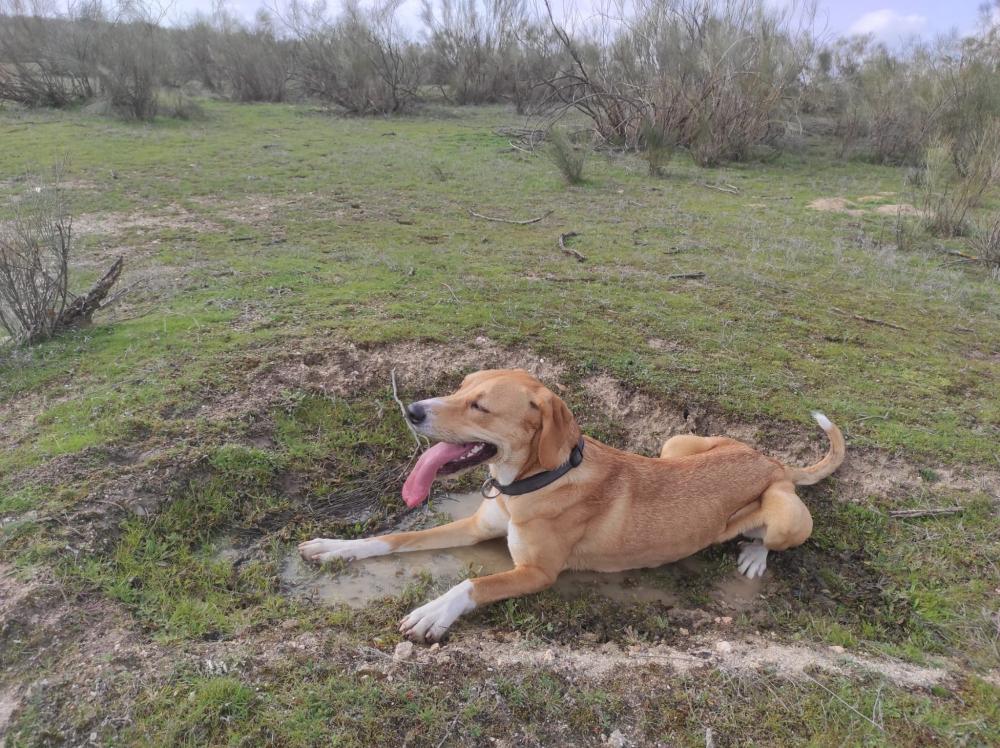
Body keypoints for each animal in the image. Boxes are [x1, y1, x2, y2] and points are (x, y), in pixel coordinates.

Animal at [298, 368, 844, 644]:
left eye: (481, 406)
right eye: (458, 388)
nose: (411, 410)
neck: (534, 480)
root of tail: (772, 461)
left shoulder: (537, 573)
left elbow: (471, 584)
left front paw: (435, 611)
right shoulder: (475, 525)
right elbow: (395, 537)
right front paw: (335, 546)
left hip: (787, 515)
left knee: (771, 536)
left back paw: (753, 553)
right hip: (675, 443)